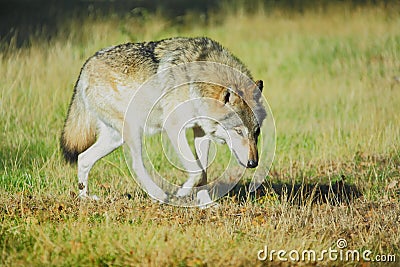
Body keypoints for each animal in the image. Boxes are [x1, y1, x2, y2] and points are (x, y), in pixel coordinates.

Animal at [60, 36, 266, 206]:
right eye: (238, 131)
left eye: (256, 132)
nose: (253, 163)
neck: (197, 83)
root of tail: (87, 64)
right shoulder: (174, 127)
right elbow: (197, 171)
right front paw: (182, 192)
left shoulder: (202, 132)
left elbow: (203, 172)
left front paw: (206, 204)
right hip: (133, 130)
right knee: (136, 165)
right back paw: (159, 195)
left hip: (115, 138)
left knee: (83, 158)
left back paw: (85, 198)